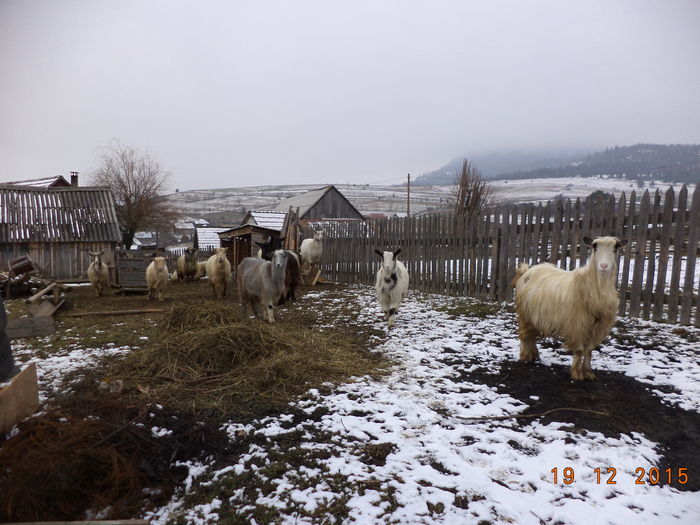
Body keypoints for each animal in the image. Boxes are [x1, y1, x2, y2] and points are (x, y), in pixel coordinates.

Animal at [508, 236, 628, 380]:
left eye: (616, 247)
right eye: (594, 246)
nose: (604, 266)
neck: (592, 286)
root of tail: (526, 271)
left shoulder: (599, 325)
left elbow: (589, 350)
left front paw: (588, 373)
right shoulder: (577, 324)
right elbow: (580, 350)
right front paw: (577, 374)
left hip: (535, 315)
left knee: (531, 335)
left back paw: (534, 355)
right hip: (524, 313)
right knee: (524, 335)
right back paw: (525, 356)